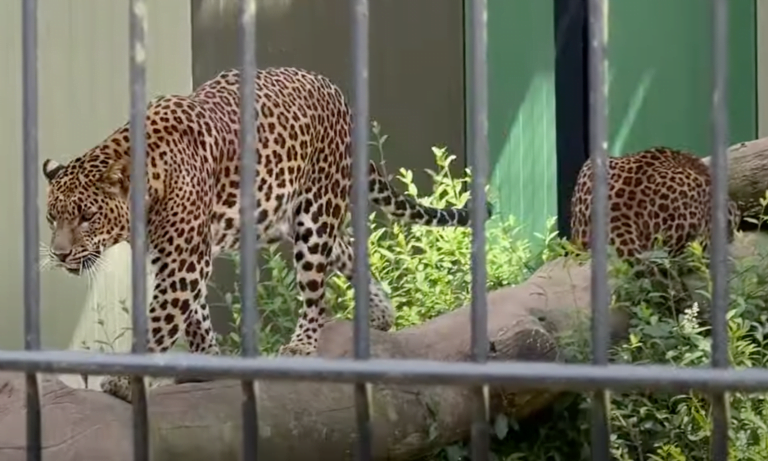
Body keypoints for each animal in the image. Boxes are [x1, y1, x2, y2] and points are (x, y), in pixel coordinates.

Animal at [40, 66, 492, 400]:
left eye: (86, 217)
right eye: (50, 218)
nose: (59, 255)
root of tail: (339, 95)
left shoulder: (183, 261)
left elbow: (160, 320)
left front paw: (125, 379)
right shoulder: (176, 257)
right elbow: (194, 314)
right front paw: (206, 360)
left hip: (315, 217)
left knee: (318, 294)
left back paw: (303, 344)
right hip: (290, 220)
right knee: (346, 250)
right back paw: (382, 314)